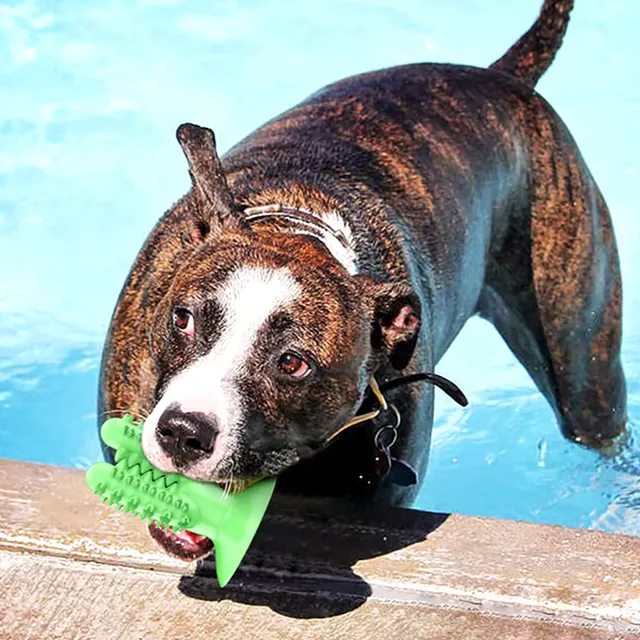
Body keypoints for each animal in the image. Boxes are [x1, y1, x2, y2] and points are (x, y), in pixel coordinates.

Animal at [99, 0, 624, 560]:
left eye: (293, 363)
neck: (303, 227)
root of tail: (501, 76)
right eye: (184, 319)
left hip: (584, 365)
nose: (184, 431)